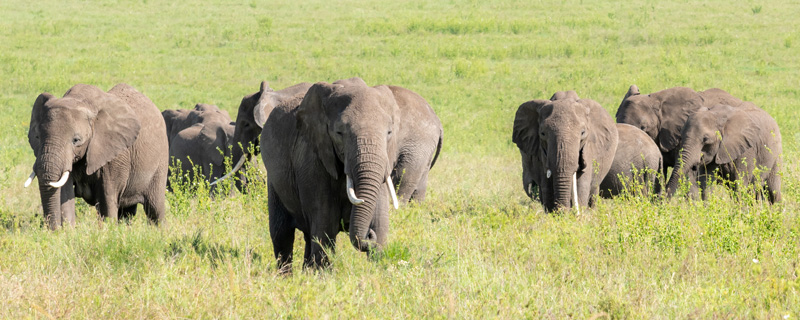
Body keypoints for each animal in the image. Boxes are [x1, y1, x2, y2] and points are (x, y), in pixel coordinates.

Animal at [25, 84, 169, 229]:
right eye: (37, 137)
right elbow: (64, 194)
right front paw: (67, 231)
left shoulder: (114, 155)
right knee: (127, 211)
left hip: (161, 159)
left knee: (154, 208)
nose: (54, 230)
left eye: (76, 140)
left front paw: (108, 230)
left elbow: (106, 200)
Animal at [260, 77, 444, 270]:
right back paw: (286, 274)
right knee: (282, 233)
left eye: (389, 132)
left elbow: (380, 226)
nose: (368, 235)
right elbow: (325, 226)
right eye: (339, 133)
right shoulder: (312, 161)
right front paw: (323, 274)